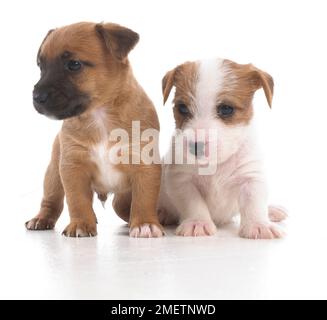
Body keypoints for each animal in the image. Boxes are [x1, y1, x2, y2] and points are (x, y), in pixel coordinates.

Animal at [25, 21, 164, 238]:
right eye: (41, 66)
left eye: (74, 64)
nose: (37, 97)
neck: (99, 115)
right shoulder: (72, 167)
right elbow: (77, 200)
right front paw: (81, 224)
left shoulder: (145, 165)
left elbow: (144, 198)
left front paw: (145, 224)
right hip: (53, 173)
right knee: (51, 200)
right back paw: (41, 219)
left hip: (121, 199)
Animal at [158, 57, 288, 239]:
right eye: (182, 107)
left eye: (226, 109)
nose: (196, 146)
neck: (216, 164)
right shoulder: (181, 179)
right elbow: (193, 203)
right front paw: (198, 222)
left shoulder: (251, 176)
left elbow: (254, 202)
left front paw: (259, 225)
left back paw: (272, 210)